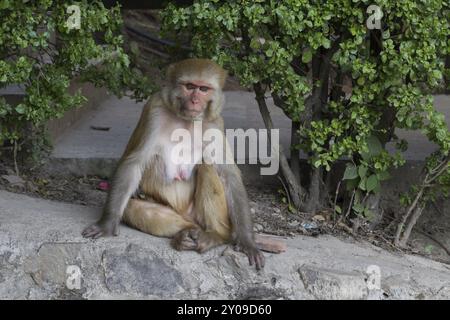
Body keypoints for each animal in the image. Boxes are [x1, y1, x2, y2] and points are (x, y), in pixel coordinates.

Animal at [81, 58, 264, 270]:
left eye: (203, 89)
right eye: (189, 86)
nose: (194, 100)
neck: (187, 120)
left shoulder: (215, 124)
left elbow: (229, 175)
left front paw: (247, 241)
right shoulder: (154, 110)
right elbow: (135, 164)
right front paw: (107, 224)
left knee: (207, 166)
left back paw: (215, 235)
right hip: (177, 212)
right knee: (133, 206)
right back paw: (183, 235)